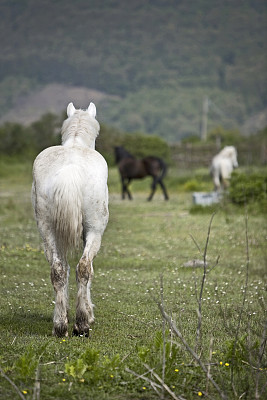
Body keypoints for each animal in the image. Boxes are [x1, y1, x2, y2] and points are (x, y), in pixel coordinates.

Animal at [31, 101, 109, 336]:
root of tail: (70, 168)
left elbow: (63, 269)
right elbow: (88, 269)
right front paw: (88, 314)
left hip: (46, 230)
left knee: (58, 270)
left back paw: (60, 325)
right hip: (95, 230)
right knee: (83, 267)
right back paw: (81, 324)